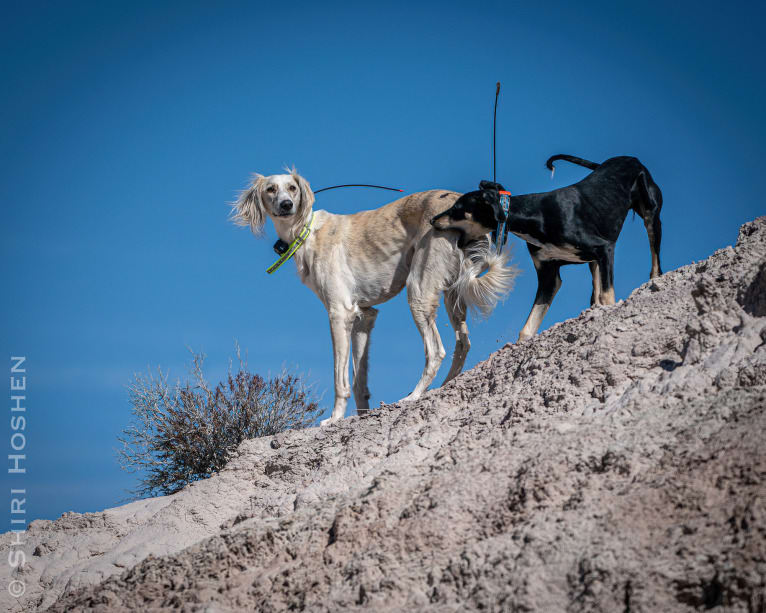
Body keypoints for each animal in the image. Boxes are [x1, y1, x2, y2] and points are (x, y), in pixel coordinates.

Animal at [234, 170, 520, 424]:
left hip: (418, 289)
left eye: (292, 188)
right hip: (452, 294)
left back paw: (414, 396)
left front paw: (335, 419)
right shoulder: (363, 316)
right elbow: (358, 380)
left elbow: (340, 377)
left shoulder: (340, 313)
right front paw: (361, 416)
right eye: (271, 189)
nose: (286, 205)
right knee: (462, 344)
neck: (305, 232)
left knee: (436, 350)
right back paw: (445, 387)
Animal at [432, 154, 664, 340]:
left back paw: (654, 279)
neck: (537, 215)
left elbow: (609, 296)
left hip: (651, 215)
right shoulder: (548, 276)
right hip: (593, 259)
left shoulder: (605, 248)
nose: (432, 220)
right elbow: (527, 329)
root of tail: (629, 157)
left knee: (655, 256)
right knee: (595, 281)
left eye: (457, 208)